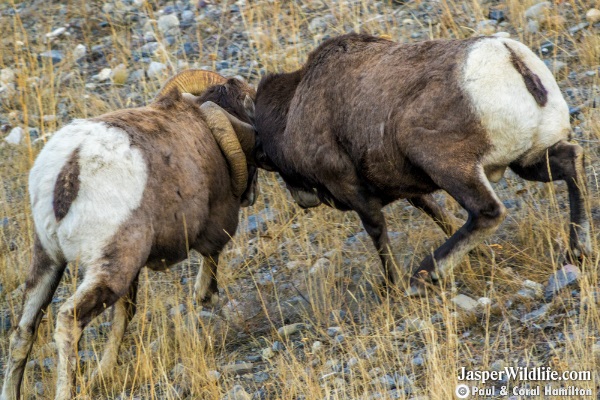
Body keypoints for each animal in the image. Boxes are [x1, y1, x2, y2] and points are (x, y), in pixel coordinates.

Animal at [0, 70, 258, 398]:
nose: (251, 195)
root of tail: (71, 167)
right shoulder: (215, 230)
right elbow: (208, 277)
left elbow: (124, 316)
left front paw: (103, 373)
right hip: (111, 269)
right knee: (68, 321)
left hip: (48, 261)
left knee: (23, 331)